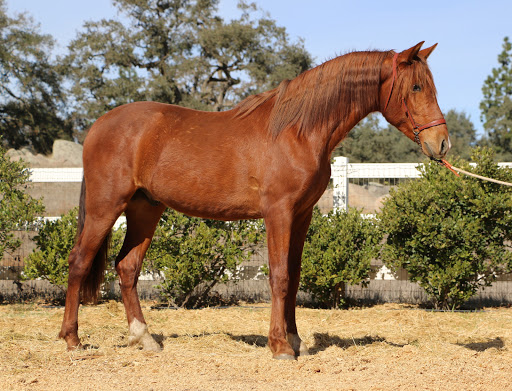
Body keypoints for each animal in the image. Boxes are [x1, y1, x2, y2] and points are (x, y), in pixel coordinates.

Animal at [60, 41, 450, 360]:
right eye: (416, 86)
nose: (442, 144)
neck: (298, 131)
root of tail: (98, 126)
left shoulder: (302, 215)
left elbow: (294, 276)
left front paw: (295, 341)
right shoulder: (278, 212)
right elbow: (279, 276)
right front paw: (279, 346)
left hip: (145, 210)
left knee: (127, 267)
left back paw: (145, 338)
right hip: (105, 207)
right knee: (79, 261)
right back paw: (72, 340)